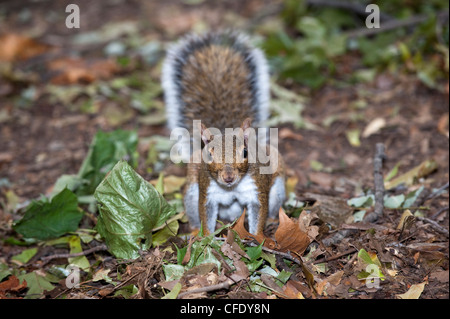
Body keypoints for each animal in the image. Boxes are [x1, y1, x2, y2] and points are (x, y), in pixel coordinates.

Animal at [162, 31, 284, 236]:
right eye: (209, 155)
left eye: (245, 152)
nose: (228, 177)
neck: (231, 187)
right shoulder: (207, 193)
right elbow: (205, 215)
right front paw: (207, 238)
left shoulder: (257, 189)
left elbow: (259, 213)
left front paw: (258, 237)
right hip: (191, 192)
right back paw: (193, 232)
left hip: (278, 189)